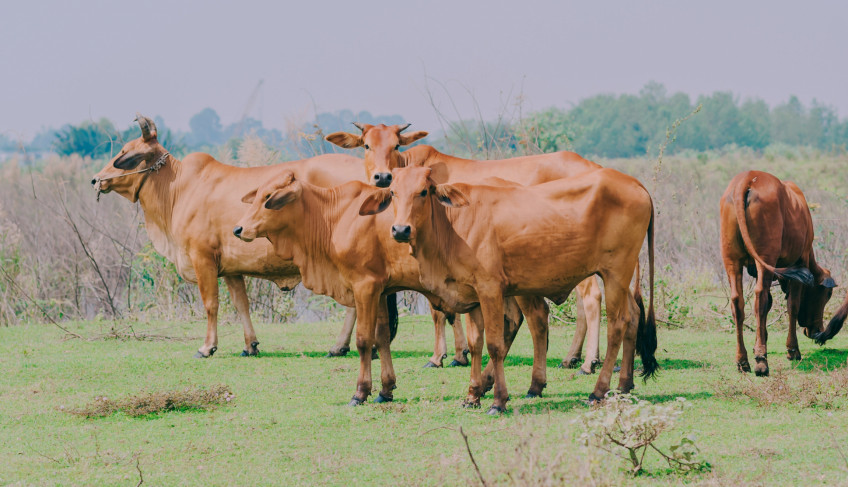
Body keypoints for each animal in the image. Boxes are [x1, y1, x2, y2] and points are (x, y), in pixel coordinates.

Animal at [91, 114, 372, 358]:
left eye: (125, 152)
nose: (96, 179)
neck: (178, 189)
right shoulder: (231, 268)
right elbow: (241, 304)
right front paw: (250, 345)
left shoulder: (202, 258)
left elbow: (210, 304)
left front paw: (207, 347)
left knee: (355, 304)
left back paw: (341, 346)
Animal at [235, 173, 548, 406]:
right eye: (257, 194)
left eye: (268, 198)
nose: (238, 229)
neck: (334, 216)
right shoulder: (383, 290)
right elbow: (382, 337)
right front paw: (386, 390)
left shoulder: (365, 285)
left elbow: (364, 340)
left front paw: (361, 392)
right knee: (516, 322)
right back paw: (492, 383)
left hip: (519, 286)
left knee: (534, 321)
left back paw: (529, 385)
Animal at [328, 124, 608, 376]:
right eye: (366, 145)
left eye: (396, 145)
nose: (383, 177)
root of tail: (596, 167)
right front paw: (458, 354)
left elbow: (440, 312)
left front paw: (439, 357)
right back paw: (574, 358)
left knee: (592, 298)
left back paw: (587, 363)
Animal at [362, 166, 660, 414]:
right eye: (393, 192)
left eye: (423, 192)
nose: (401, 230)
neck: (453, 225)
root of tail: (635, 183)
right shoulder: (472, 296)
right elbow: (475, 343)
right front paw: (472, 395)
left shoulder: (490, 290)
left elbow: (494, 345)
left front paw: (498, 401)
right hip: (619, 278)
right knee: (633, 317)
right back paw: (624, 385)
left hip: (615, 274)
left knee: (617, 326)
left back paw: (599, 391)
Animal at [720, 172, 844, 378]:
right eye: (827, 295)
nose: (817, 331)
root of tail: (748, 177)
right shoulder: (800, 262)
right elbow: (792, 306)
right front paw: (792, 350)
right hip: (766, 257)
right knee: (760, 297)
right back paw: (761, 362)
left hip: (731, 260)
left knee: (738, 301)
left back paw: (743, 360)